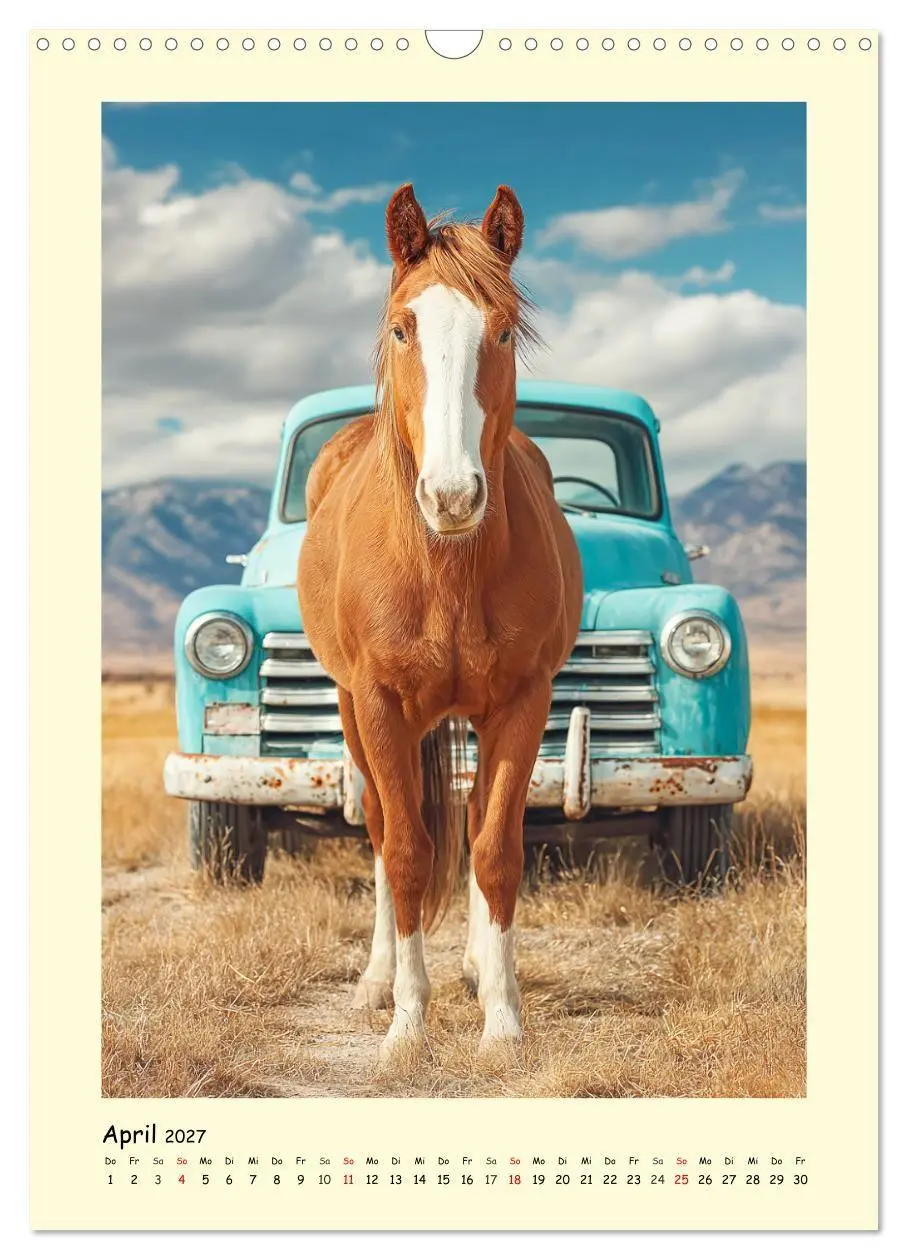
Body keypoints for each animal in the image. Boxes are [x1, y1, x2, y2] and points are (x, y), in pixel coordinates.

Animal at [298, 184, 583, 1055]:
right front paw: (407, 1022)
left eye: (501, 329)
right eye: (402, 327)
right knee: (384, 835)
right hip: (354, 713)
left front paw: (503, 1018)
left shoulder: (523, 702)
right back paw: (378, 980)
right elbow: (408, 854)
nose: (453, 496)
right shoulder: (381, 705)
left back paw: (478, 969)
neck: (446, 569)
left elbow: (493, 852)